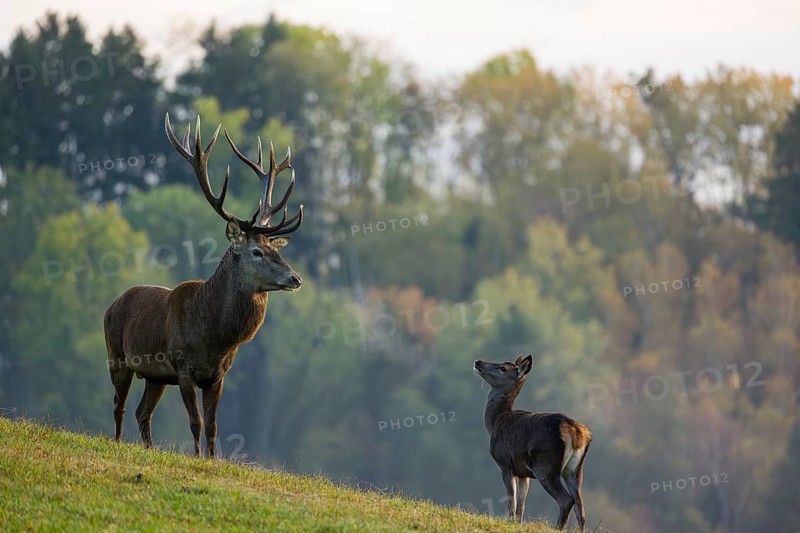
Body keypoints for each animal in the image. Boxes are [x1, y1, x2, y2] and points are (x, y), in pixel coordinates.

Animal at [103, 113, 304, 458]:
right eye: (256, 251)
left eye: (277, 250)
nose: (295, 278)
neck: (214, 337)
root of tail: (112, 304)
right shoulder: (184, 369)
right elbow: (195, 422)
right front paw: (197, 458)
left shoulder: (217, 376)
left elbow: (212, 426)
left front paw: (211, 459)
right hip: (117, 356)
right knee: (119, 405)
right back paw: (117, 442)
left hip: (155, 376)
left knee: (143, 411)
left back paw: (149, 448)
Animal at [473, 355, 592, 530]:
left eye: (503, 368)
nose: (478, 362)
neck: (495, 422)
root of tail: (577, 432)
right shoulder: (523, 473)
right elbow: (521, 503)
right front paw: (519, 523)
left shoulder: (505, 463)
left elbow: (512, 499)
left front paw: (510, 523)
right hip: (575, 469)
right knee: (580, 505)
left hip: (545, 465)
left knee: (566, 500)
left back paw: (557, 528)